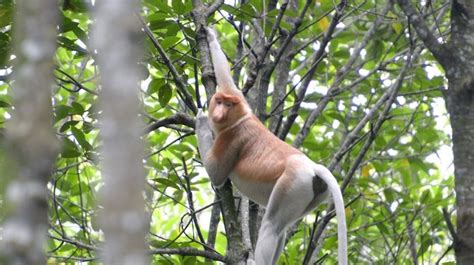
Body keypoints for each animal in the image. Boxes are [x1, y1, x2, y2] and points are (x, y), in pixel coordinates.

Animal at [195, 27, 348, 262]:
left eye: (228, 105)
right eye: (219, 101)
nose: (218, 113)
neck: (240, 119)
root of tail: (313, 166)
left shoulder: (232, 137)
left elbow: (216, 174)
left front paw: (201, 120)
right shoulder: (243, 103)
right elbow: (228, 81)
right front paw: (211, 36)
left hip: (293, 182)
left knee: (272, 225)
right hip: (314, 194)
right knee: (282, 228)